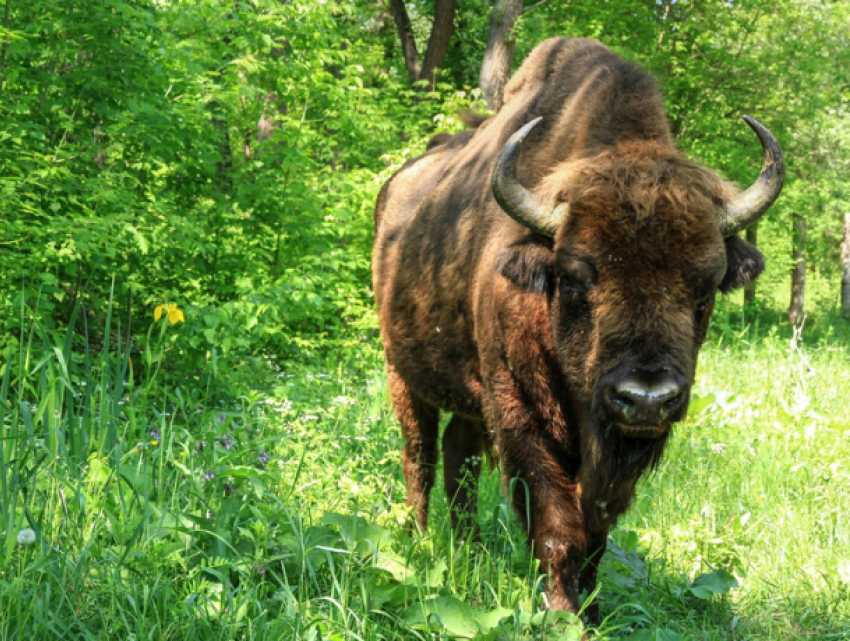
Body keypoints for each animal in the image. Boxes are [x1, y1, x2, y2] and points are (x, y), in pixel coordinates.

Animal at [372, 38, 780, 620]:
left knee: (459, 457)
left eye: (704, 291)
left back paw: (469, 549)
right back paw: (420, 542)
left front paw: (589, 606)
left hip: (468, 397)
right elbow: (556, 521)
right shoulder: (521, 414)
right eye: (573, 280)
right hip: (401, 371)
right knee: (420, 456)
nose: (646, 398)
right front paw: (562, 613)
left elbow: (597, 528)